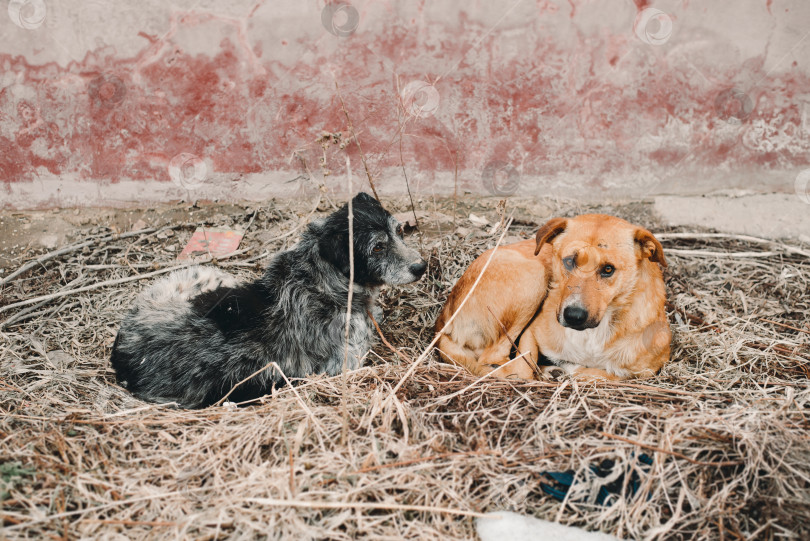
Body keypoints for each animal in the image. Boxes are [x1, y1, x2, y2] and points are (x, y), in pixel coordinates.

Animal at [109, 192, 426, 408]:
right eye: (377, 248)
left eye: (399, 231)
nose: (421, 266)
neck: (320, 280)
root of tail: (122, 356)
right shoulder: (346, 363)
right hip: (209, 275)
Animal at [436, 214, 668, 380]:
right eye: (569, 261)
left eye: (608, 269)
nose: (573, 316)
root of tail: (444, 320)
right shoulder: (532, 333)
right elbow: (525, 365)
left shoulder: (649, 369)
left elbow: (608, 375)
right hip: (534, 275)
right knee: (493, 359)